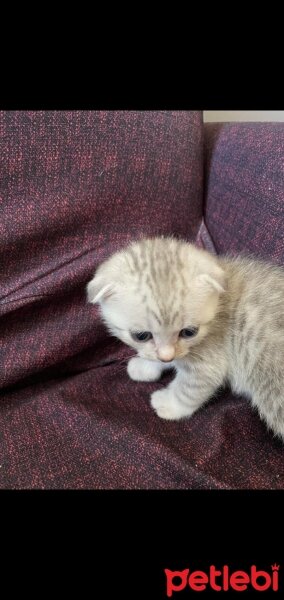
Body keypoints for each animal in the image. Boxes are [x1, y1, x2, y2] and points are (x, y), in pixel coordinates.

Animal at [86, 238, 284, 440]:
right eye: (141, 336)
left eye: (189, 332)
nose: (167, 357)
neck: (219, 305)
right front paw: (145, 366)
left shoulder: (209, 360)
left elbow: (188, 390)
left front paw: (169, 405)